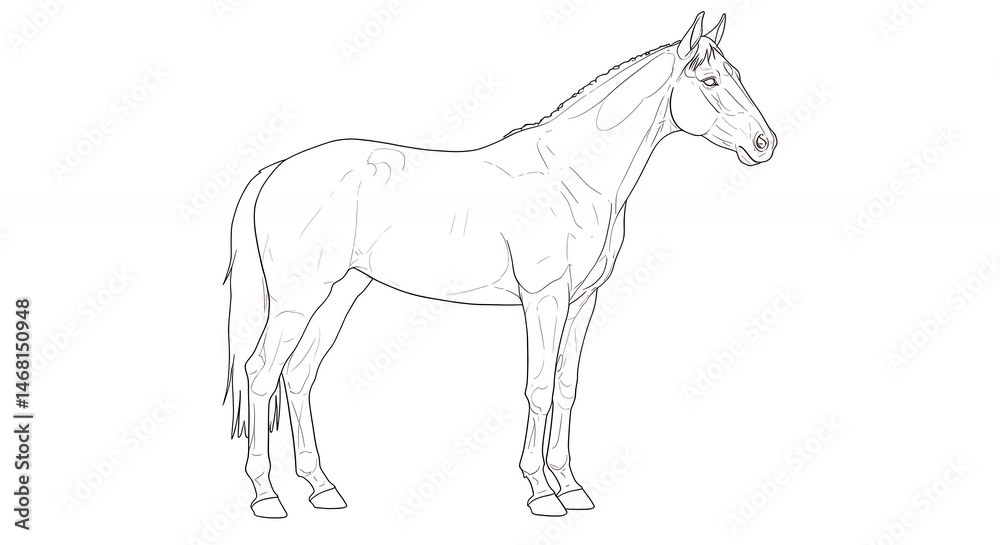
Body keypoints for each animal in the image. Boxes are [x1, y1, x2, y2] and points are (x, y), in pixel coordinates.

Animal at [224, 11, 775, 518]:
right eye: (710, 81)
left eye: (738, 74)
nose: (764, 143)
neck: (573, 178)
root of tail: (276, 169)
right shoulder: (543, 297)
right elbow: (539, 387)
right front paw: (541, 492)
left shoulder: (583, 301)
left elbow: (567, 388)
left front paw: (571, 487)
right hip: (299, 299)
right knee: (261, 373)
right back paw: (267, 496)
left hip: (340, 294)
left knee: (298, 376)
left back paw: (322, 489)